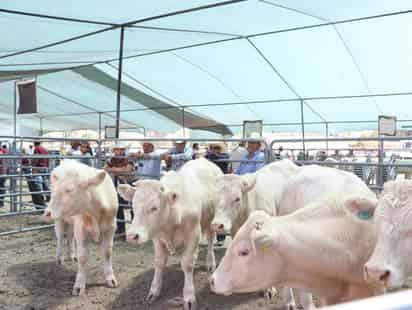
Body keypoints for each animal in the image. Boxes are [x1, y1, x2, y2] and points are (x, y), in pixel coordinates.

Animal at [42, 160, 118, 296]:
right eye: (55, 189)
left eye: (69, 190)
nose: (47, 213)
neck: (94, 212)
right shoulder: (81, 229)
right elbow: (83, 257)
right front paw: (79, 285)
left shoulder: (110, 228)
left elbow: (107, 252)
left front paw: (110, 278)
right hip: (60, 220)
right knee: (60, 238)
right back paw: (59, 258)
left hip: (72, 221)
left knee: (70, 236)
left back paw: (72, 255)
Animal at [117, 157, 222, 310]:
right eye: (133, 205)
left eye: (154, 207)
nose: (132, 236)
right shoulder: (157, 237)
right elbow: (159, 262)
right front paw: (154, 291)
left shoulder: (193, 234)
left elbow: (187, 264)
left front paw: (189, 296)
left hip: (211, 221)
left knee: (210, 241)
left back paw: (210, 262)